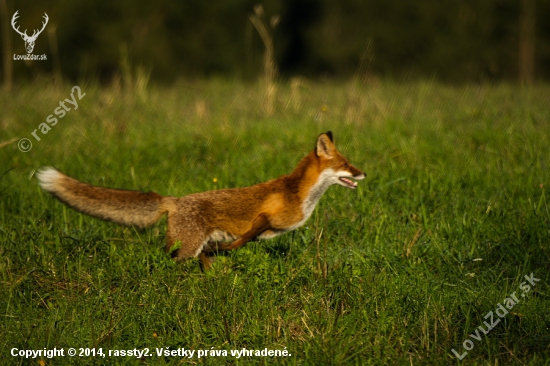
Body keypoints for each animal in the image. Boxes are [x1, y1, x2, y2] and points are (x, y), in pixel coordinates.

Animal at [38, 132, 366, 268]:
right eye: (347, 165)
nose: (364, 173)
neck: (300, 195)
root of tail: (172, 200)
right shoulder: (263, 218)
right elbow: (241, 241)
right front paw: (225, 251)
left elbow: (241, 243)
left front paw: (223, 256)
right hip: (185, 249)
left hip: (191, 249)